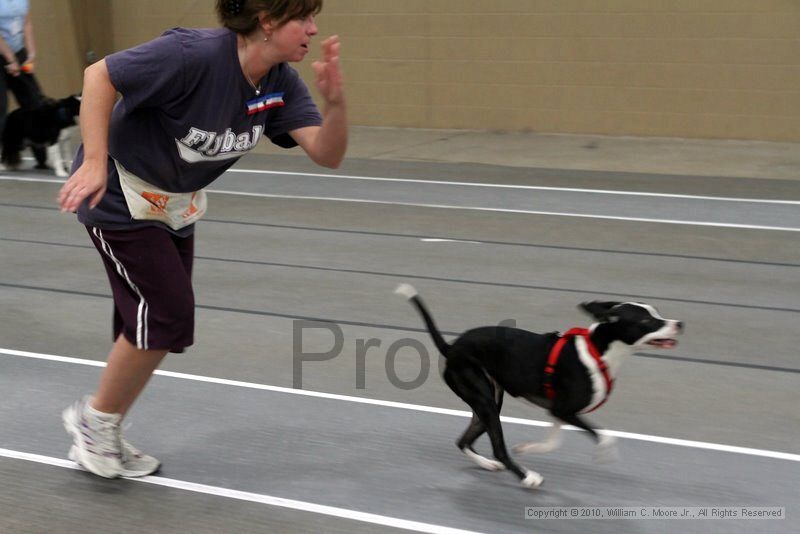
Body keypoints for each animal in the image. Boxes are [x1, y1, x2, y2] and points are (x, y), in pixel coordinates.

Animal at [394, 284, 680, 490]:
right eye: (646, 322)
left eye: (657, 311)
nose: (679, 323)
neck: (598, 352)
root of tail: (451, 347)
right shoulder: (564, 411)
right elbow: (606, 437)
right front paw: (603, 454)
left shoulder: (558, 412)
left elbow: (553, 441)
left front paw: (528, 448)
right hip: (485, 401)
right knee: (497, 448)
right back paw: (527, 477)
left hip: (489, 400)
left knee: (464, 440)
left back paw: (488, 465)